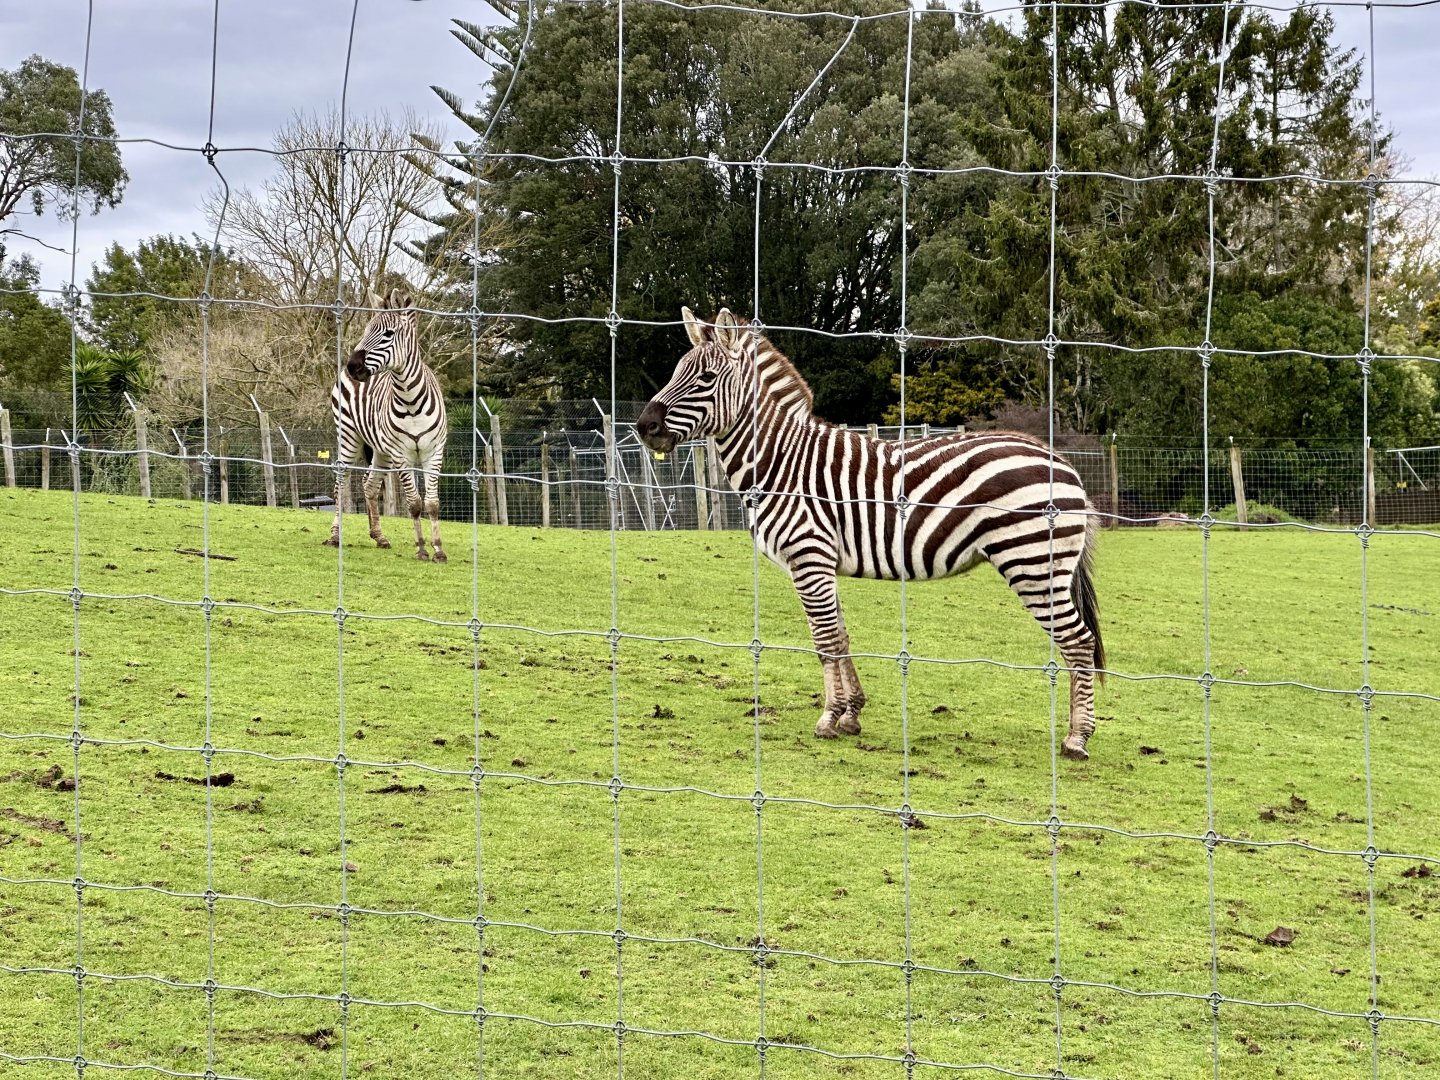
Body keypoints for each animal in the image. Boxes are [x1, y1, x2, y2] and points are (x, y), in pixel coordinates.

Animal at [323, 288, 449, 562]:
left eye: (388, 334)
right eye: (365, 330)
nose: (353, 366)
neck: (411, 401)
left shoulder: (433, 451)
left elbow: (432, 503)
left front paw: (438, 550)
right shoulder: (402, 454)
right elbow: (414, 503)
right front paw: (421, 549)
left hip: (381, 449)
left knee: (369, 485)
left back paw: (379, 536)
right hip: (348, 436)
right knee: (340, 484)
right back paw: (335, 536)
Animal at [636, 308, 1105, 759]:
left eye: (705, 378)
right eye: (675, 372)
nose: (644, 426)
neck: (780, 462)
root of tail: (1064, 463)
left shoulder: (808, 556)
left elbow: (824, 639)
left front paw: (828, 718)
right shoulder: (821, 563)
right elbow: (841, 634)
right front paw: (851, 714)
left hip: (1031, 563)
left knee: (1077, 641)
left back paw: (1077, 739)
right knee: (1075, 642)